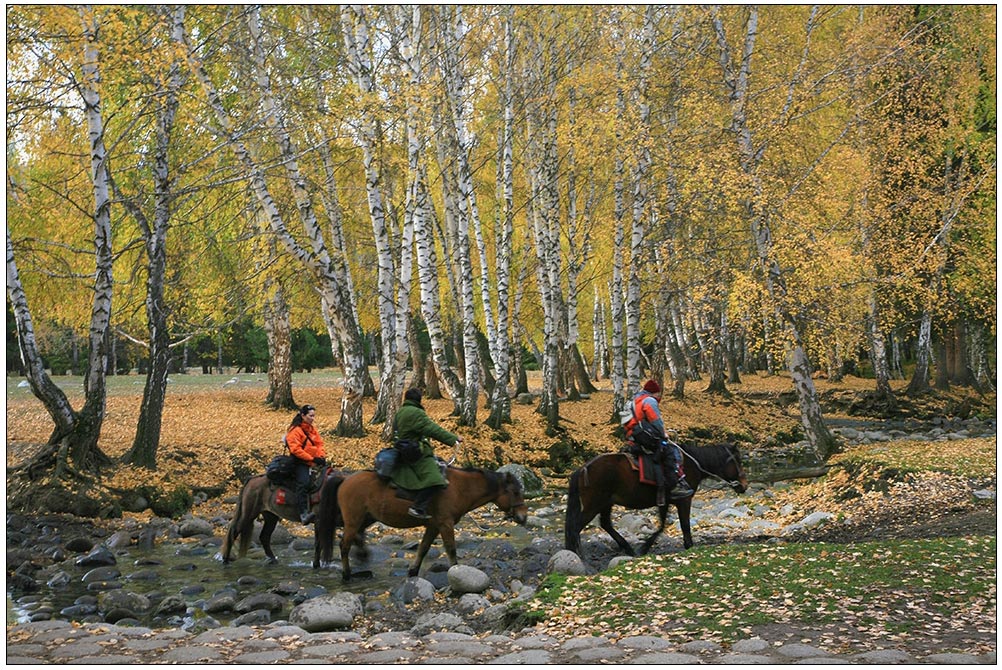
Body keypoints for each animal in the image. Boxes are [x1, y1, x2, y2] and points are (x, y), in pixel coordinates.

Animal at [318, 464, 533, 580]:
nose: (523, 516)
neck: (458, 487)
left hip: (364, 519)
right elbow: (451, 549)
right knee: (343, 545)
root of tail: (344, 479)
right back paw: (346, 574)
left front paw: (413, 571)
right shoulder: (445, 524)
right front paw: (455, 570)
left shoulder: (433, 526)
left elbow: (423, 549)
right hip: (353, 520)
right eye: (515, 492)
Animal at [565, 440, 745, 556]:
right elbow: (684, 525)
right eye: (738, 460)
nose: (744, 484)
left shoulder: (664, 501)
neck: (690, 465)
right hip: (593, 505)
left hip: (605, 503)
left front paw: (645, 547)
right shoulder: (684, 500)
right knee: (576, 527)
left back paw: (627, 548)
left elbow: (662, 525)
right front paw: (689, 545)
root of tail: (584, 468)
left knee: (605, 524)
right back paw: (575, 553)